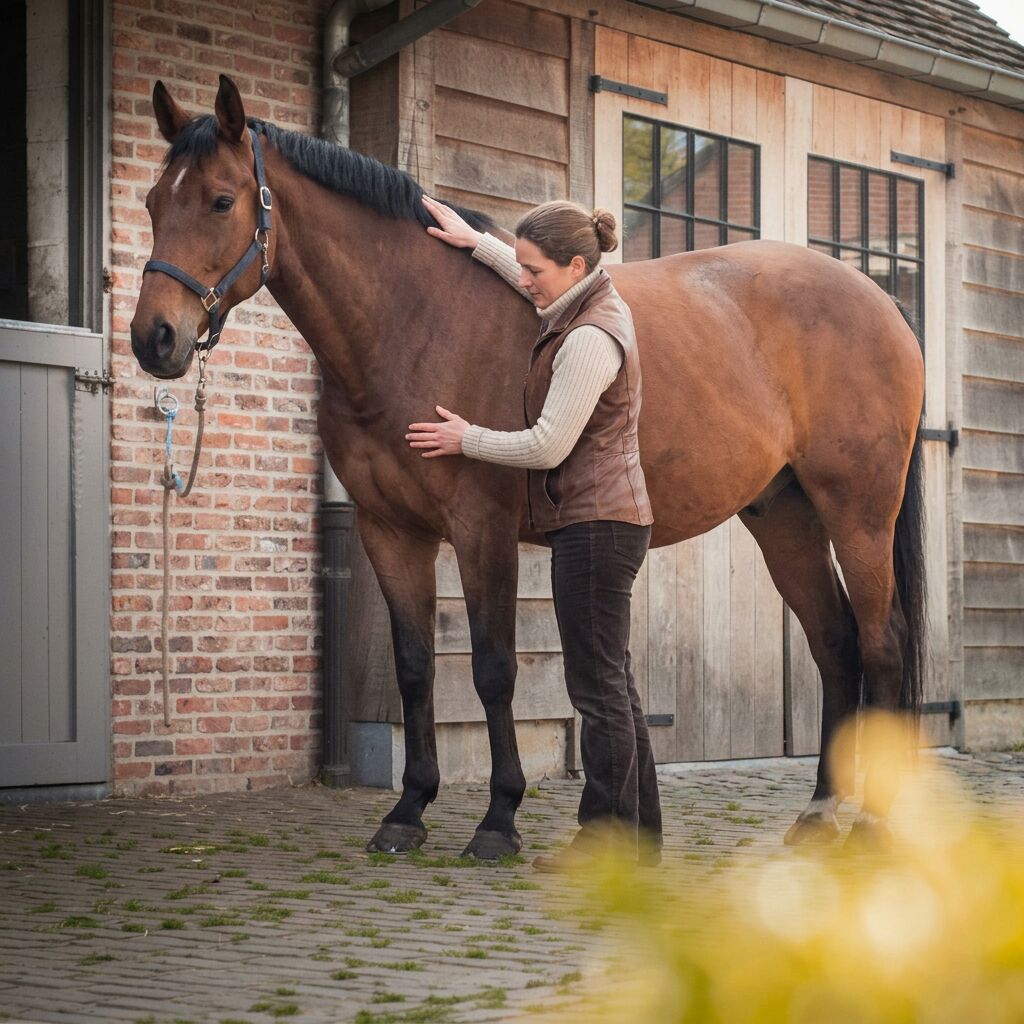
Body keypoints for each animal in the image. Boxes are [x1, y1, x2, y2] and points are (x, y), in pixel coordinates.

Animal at [130, 75, 926, 858]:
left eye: (222, 200)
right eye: (151, 202)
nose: (154, 339)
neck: (415, 321)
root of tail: (880, 300)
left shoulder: (482, 528)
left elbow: (493, 668)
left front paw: (498, 817)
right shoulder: (390, 530)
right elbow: (416, 667)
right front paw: (408, 810)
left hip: (857, 512)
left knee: (881, 643)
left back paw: (873, 825)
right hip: (784, 515)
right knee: (835, 644)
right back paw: (821, 812)